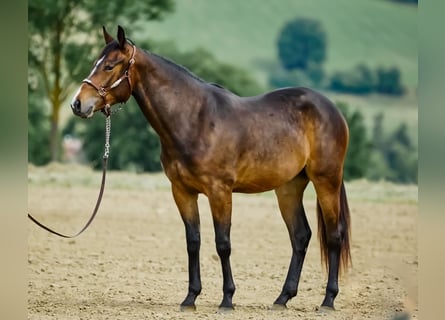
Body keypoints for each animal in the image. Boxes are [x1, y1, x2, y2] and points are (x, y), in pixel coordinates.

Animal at [69, 26, 350, 312]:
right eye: (95, 63)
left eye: (110, 66)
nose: (78, 104)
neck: (195, 119)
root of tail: (331, 109)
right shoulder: (182, 192)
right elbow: (193, 242)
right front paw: (190, 298)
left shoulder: (219, 192)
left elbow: (222, 243)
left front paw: (227, 299)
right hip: (289, 188)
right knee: (300, 236)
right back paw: (282, 298)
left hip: (326, 181)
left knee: (334, 235)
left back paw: (328, 300)